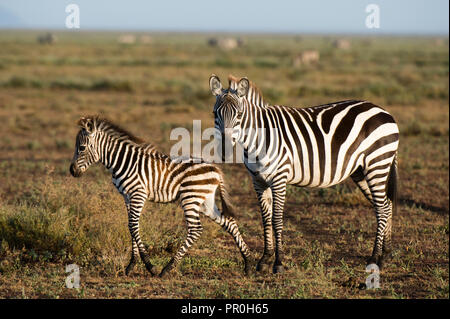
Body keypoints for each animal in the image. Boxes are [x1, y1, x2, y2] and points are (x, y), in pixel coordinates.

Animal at [70, 115, 253, 278]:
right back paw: (248, 264)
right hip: (205, 202)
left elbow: (133, 226)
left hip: (190, 198)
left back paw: (167, 268)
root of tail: (216, 170)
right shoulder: (127, 197)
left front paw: (149, 266)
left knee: (196, 229)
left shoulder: (138, 194)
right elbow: (131, 226)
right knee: (229, 222)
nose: (72, 171)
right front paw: (131, 265)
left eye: (82, 148)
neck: (123, 162)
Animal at [209, 75, 400, 276]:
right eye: (215, 114)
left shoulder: (279, 179)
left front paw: (278, 263)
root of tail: (384, 111)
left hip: (377, 164)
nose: (225, 151)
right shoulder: (258, 181)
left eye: (239, 115)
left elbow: (276, 220)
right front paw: (265, 259)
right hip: (361, 171)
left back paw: (374, 258)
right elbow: (265, 219)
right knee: (386, 206)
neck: (258, 139)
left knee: (382, 208)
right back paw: (385, 254)